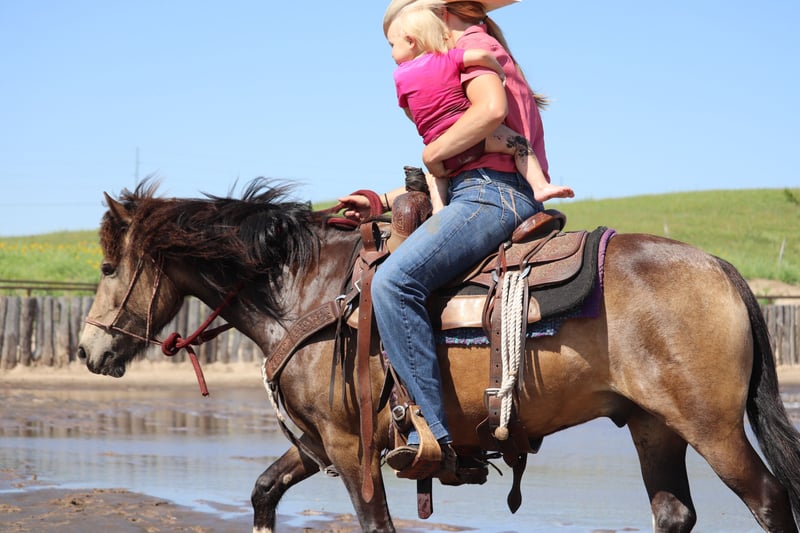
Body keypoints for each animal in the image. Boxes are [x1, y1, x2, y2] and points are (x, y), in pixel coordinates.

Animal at [77, 180, 800, 533]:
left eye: (110, 266)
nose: (86, 348)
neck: (305, 289)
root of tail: (723, 268)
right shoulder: (318, 443)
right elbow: (261, 492)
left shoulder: (350, 448)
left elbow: (376, 525)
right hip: (654, 425)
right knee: (674, 513)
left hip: (711, 426)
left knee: (769, 499)